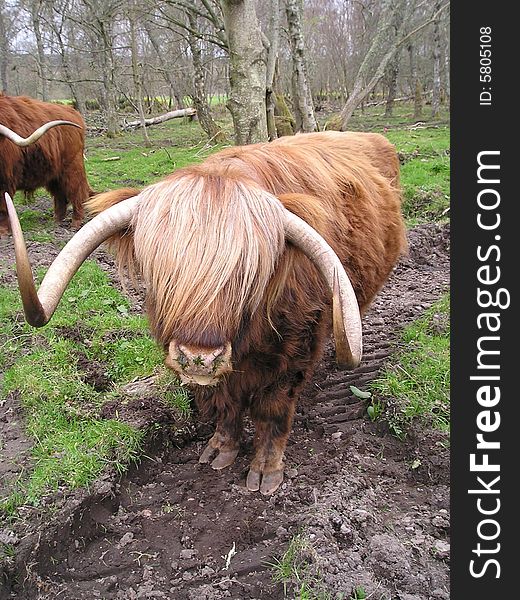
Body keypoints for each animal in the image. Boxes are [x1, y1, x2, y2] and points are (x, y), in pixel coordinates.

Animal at [0, 92, 93, 236]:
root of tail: (73, 112)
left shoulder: (5, 180)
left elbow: (3, 206)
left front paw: (3, 231)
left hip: (72, 167)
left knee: (77, 192)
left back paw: (75, 223)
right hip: (54, 174)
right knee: (60, 195)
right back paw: (57, 221)